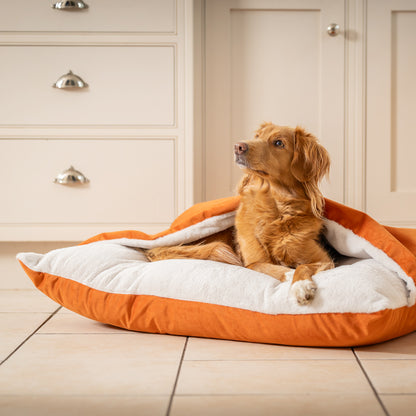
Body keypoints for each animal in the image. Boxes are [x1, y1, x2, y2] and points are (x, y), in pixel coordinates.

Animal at [146, 122, 334, 304]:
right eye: (257, 136)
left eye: (278, 143)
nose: (238, 147)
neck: (275, 209)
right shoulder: (251, 261)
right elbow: (259, 265)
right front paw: (289, 274)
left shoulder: (325, 260)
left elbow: (303, 266)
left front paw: (300, 285)